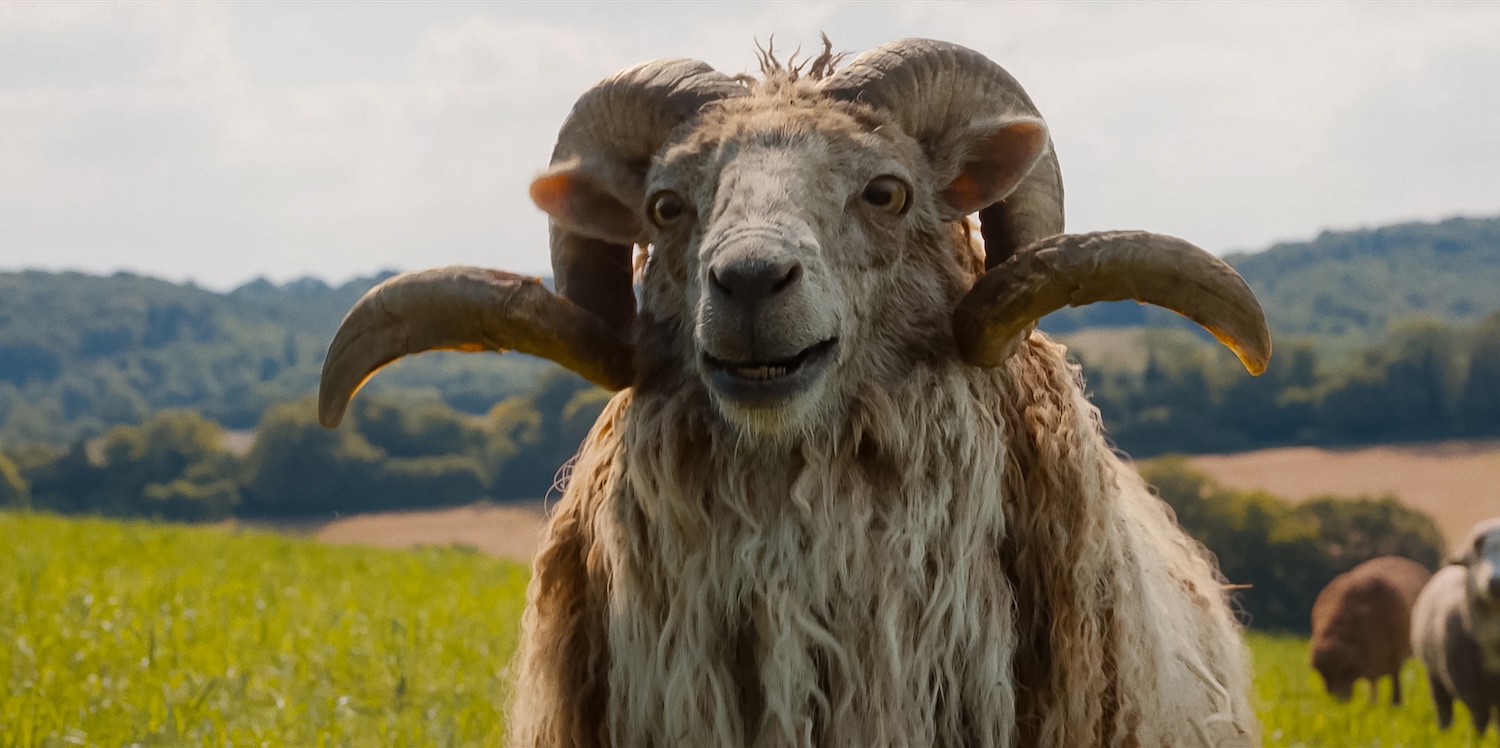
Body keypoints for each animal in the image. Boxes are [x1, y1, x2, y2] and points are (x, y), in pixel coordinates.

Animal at [1309, 556, 1432, 704]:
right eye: (1325, 673)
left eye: (1347, 670)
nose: (1340, 702)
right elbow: (1372, 683)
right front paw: (1371, 705)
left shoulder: (1395, 652)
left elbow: (1395, 678)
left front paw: (1396, 703)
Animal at [1411, 516, 1500, 736]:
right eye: (1477, 556)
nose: (1495, 584)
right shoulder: (1464, 677)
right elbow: (1479, 714)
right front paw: (1476, 739)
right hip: (1434, 675)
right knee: (1444, 709)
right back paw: (1444, 734)